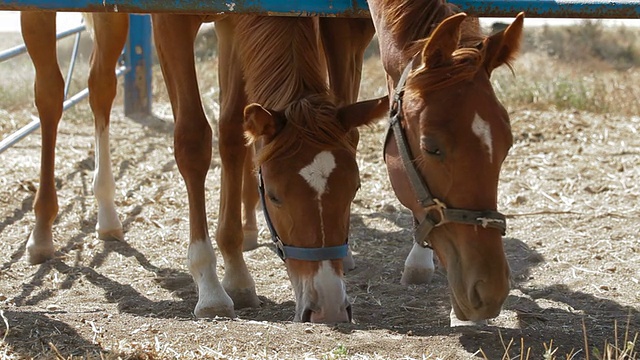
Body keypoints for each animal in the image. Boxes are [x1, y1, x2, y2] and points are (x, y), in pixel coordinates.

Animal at [151, 14, 384, 324]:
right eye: (274, 196)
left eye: (354, 189)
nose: (329, 308)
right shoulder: (169, 22)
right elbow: (192, 140)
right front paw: (210, 289)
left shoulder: (236, 26)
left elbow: (233, 133)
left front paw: (237, 277)